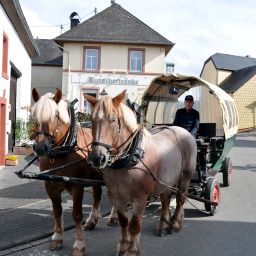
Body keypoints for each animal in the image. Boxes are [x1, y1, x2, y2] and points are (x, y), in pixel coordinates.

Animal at [30, 88, 116, 256]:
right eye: (34, 115)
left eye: (55, 116)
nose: (40, 148)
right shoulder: (50, 185)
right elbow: (57, 211)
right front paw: (57, 237)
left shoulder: (77, 186)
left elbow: (76, 215)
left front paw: (79, 245)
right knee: (97, 194)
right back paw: (92, 221)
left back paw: (113, 217)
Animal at [85, 91, 197, 255]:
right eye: (92, 119)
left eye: (113, 119)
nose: (97, 157)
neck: (131, 158)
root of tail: (182, 130)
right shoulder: (117, 197)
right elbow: (124, 223)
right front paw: (123, 247)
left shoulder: (140, 198)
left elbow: (134, 225)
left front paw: (132, 250)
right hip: (165, 180)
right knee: (165, 200)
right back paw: (163, 225)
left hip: (186, 176)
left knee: (181, 198)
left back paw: (175, 224)